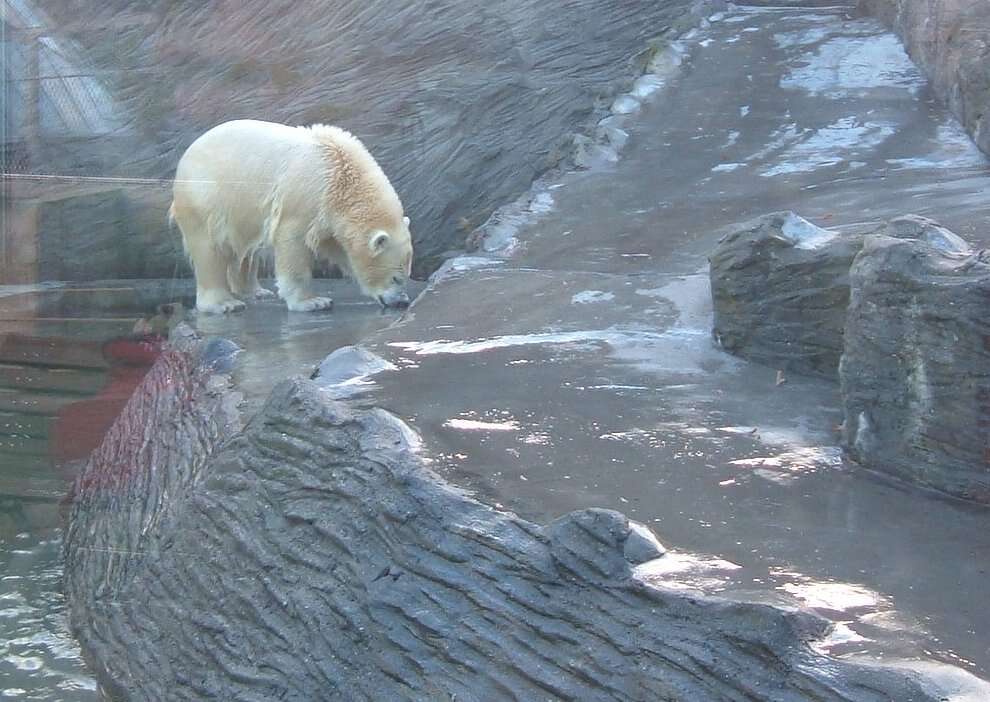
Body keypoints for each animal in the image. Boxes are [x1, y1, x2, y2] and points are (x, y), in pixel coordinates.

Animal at [170, 120, 414, 314]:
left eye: (408, 275)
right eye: (396, 278)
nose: (402, 301)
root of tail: (186, 157)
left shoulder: (329, 214)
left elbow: (338, 245)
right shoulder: (304, 198)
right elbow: (293, 243)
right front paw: (313, 302)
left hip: (242, 210)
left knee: (246, 249)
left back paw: (256, 291)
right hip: (206, 198)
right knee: (209, 250)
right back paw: (225, 304)